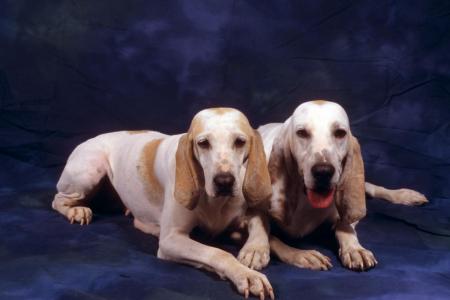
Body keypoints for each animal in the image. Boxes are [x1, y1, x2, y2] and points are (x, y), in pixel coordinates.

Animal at [51, 107, 274, 298]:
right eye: (203, 143)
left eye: (240, 141)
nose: (224, 182)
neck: (215, 202)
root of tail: (90, 139)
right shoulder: (171, 240)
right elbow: (218, 253)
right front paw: (245, 275)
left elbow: (259, 220)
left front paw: (255, 250)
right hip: (90, 169)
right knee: (58, 200)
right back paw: (76, 211)